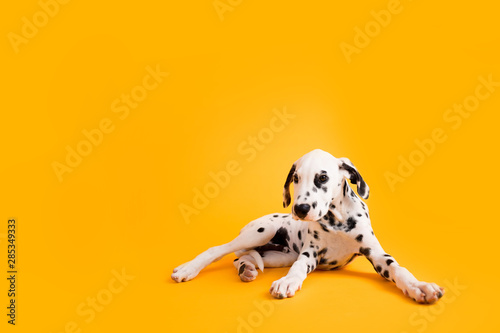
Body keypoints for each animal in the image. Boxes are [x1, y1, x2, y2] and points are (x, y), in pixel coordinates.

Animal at [173, 149, 446, 302]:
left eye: (322, 177)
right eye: (295, 178)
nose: (300, 210)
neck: (337, 221)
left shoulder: (378, 255)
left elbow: (399, 269)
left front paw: (420, 287)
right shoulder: (308, 254)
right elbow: (298, 269)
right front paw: (287, 282)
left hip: (276, 256)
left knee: (242, 258)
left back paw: (247, 269)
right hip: (261, 232)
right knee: (219, 250)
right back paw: (188, 268)